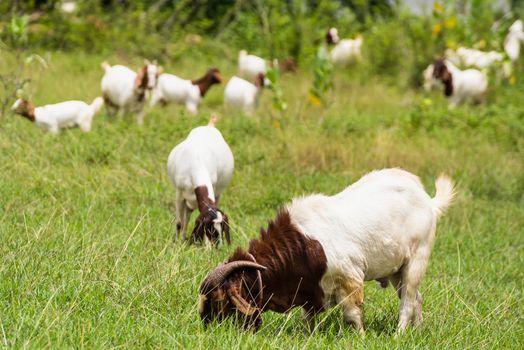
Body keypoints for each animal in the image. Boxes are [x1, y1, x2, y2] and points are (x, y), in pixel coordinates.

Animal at [168, 115, 233, 246]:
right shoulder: (179, 193)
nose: (219, 246)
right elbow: (179, 223)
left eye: (222, 227)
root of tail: (209, 126)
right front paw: (177, 242)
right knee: (185, 219)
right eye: (210, 228)